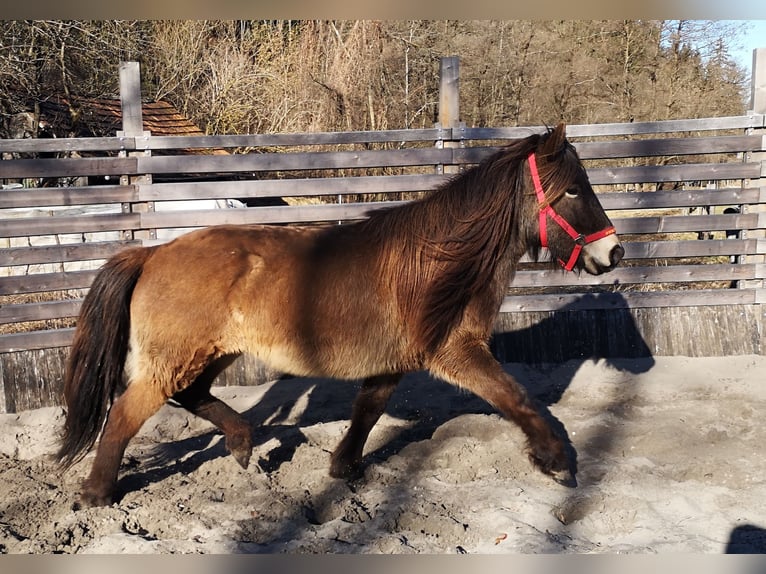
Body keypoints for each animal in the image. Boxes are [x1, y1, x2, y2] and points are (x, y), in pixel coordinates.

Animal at [58, 122, 624, 508]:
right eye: (574, 189)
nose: (614, 252)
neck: (438, 261)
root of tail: (152, 253)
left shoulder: (396, 358)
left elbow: (368, 410)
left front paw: (342, 467)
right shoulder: (456, 350)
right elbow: (516, 398)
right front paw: (557, 462)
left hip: (212, 354)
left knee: (192, 395)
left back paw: (242, 445)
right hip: (177, 359)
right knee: (124, 416)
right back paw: (96, 495)